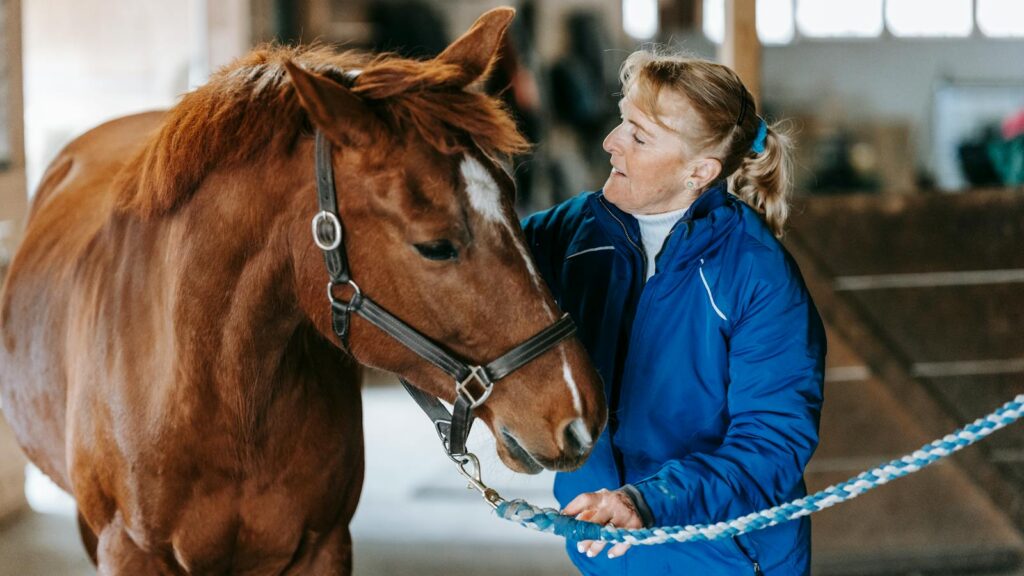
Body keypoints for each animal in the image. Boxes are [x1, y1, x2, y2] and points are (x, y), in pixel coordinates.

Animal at [0, 8, 606, 574]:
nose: (582, 415)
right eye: (435, 246)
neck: (218, 397)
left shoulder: (324, 546)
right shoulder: (127, 551)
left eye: (513, 200)